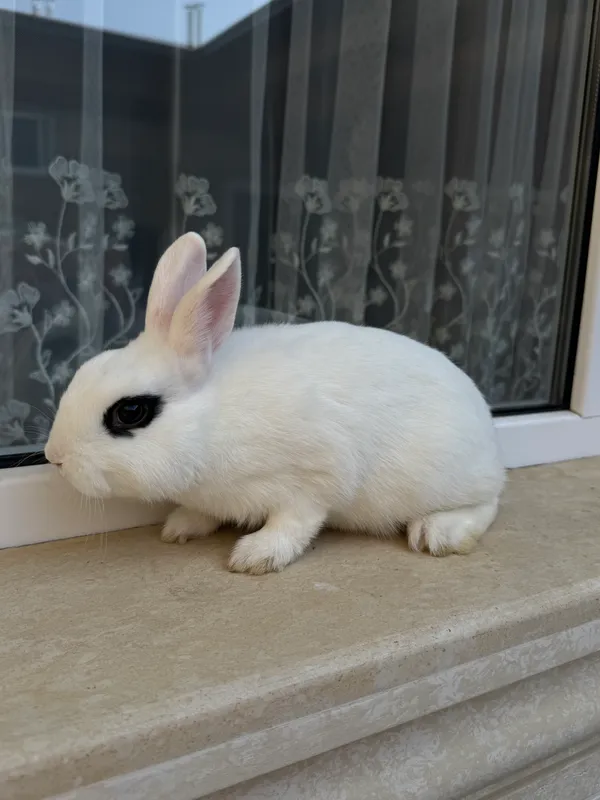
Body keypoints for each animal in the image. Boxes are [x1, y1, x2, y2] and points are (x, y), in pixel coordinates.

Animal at [46, 232, 505, 574]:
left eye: (130, 412)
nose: (54, 457)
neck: (211, 424)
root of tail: (487, 431)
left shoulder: (315, 475)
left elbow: (297, 520)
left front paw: (256, 556)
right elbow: (201, 512)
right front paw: (181, 527)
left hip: (445, 475)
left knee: (489, 503)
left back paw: (438, 533)